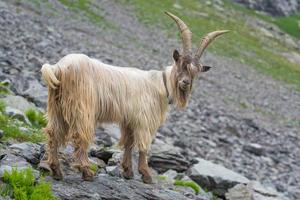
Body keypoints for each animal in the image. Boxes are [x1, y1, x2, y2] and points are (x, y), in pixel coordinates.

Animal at [39, 11, 227, 183]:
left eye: (196, 71)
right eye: (181, 64)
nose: (185, 83)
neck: (161, 83)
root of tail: (58, 68)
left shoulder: (130, 120)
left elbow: (129, 143)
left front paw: (128, 172)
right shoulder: (145, 120)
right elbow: (143, 146)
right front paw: (146, 175)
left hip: (57, 107)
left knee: (53, 133)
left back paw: (56, 171)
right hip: (82, 107)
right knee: (80, 136)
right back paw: (86, 172)